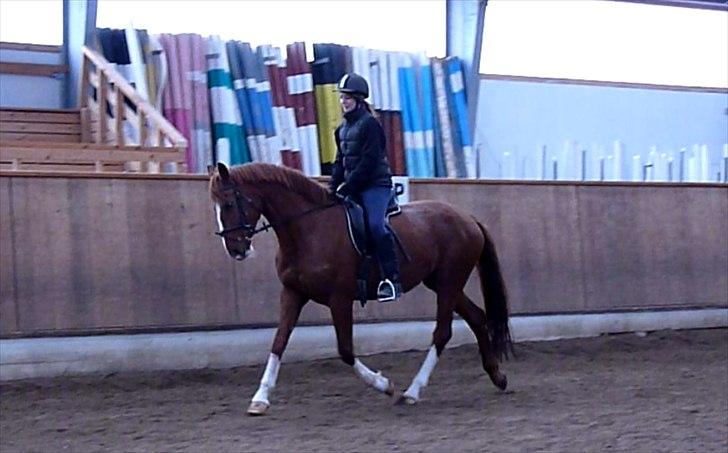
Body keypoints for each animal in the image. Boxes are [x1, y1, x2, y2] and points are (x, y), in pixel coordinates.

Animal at [210, 162, 512, 414]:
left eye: (229, 203)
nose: (235, 250)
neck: (309, 229)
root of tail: (468, 218)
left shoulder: (339, 299)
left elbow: (345, 350)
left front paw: (385, 385)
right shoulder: (293, 293)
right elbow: (278, 343)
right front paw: (260, 399)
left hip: (449, 282)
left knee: (443, 332)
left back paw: (412, 392)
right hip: (442, 283)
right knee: (476, 317)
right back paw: (497, 377)